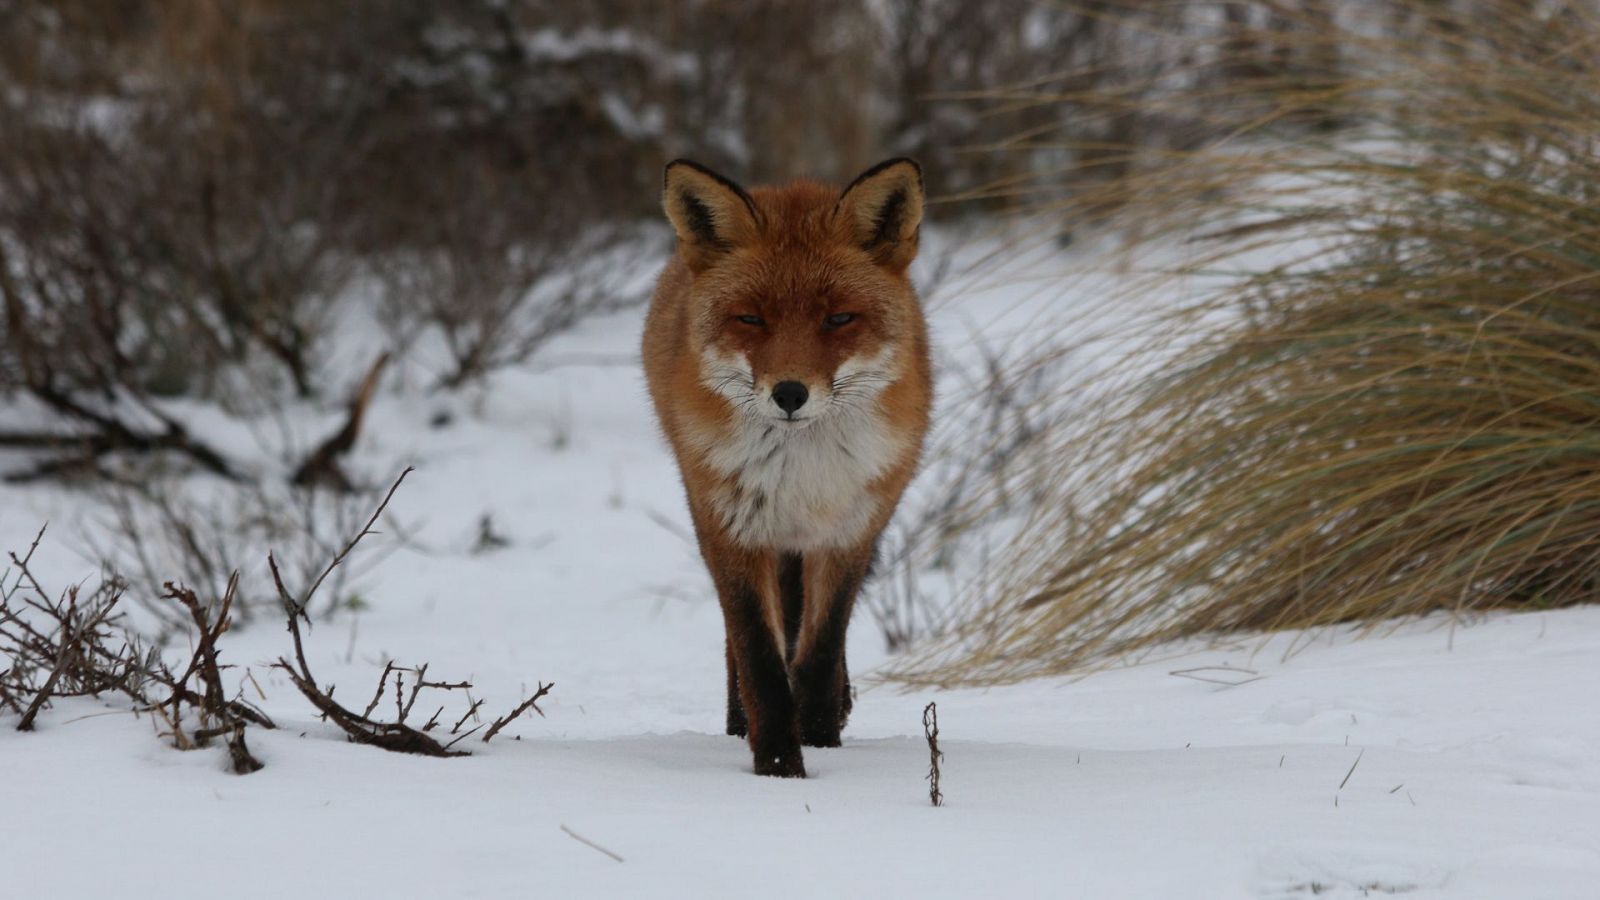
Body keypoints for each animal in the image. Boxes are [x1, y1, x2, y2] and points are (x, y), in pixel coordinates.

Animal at [640, 157, 934, 775]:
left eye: (839, 318)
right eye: (751, 319)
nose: (790, 394)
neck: (803, 475)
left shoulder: (849, 532)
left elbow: (820, 653)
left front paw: (819, 741)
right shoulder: (731, 530)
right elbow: (759, 657)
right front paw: (779, 767)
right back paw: (737, 725)